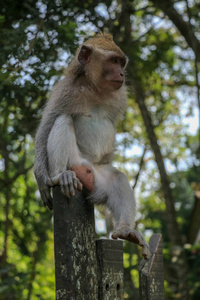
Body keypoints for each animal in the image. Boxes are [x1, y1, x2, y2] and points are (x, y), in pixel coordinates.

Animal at [34, 32, 151, 258]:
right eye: (113, 61)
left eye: (121, 62)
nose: (122, 74)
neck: (95, 89)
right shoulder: (65, 91)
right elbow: (46, 126)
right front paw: (41, 178)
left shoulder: (120, 96)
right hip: (75, 161)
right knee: (62, 120)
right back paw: (60, 176)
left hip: (97, 180)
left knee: (117, 179)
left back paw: (126, 231)